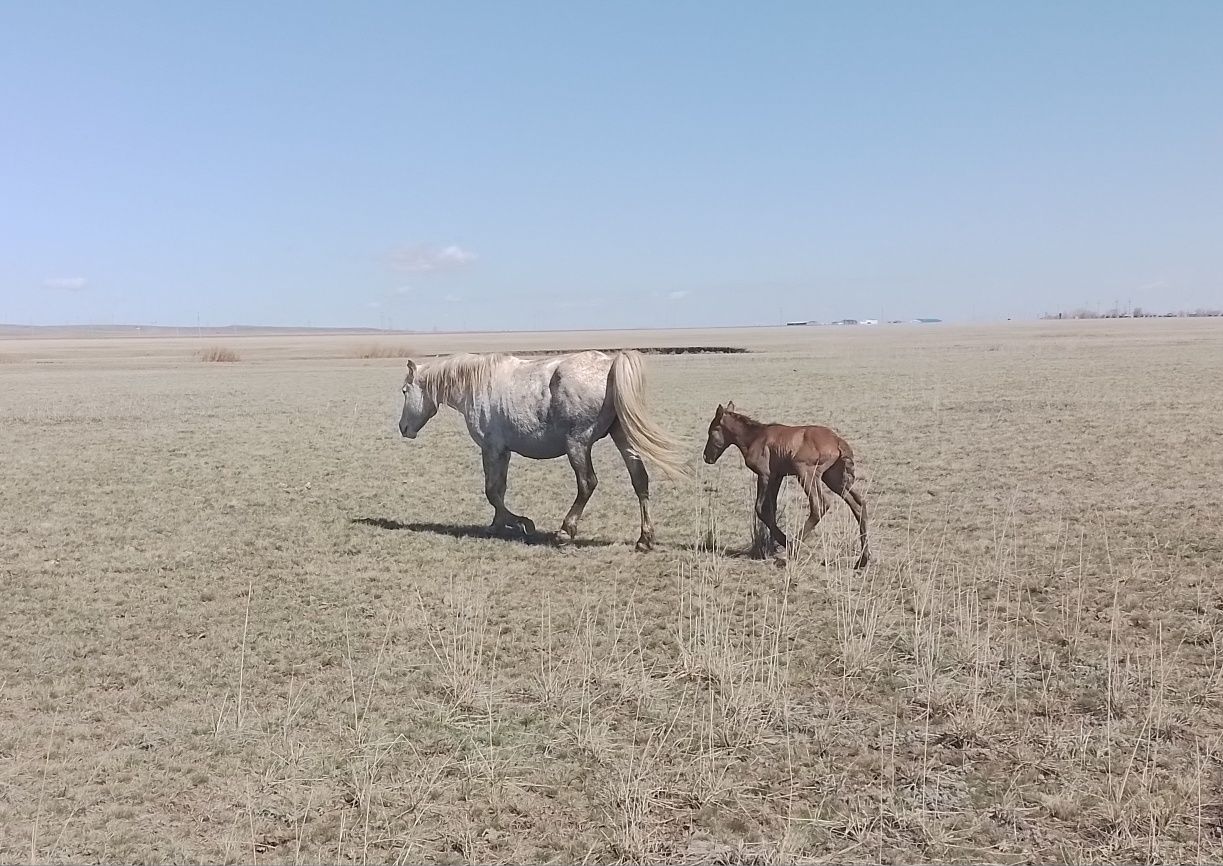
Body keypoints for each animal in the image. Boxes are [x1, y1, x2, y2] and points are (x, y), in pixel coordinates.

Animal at [398, 349, 689, 547]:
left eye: (404, 391)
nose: (403, 428)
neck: (478, 384)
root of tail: (609, 365)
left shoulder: (491, 449)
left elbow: (491, 491)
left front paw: (521, 523)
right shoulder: (503, 452)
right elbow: (499, 490)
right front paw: (497, 524)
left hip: (577, 444)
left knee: (587, 483)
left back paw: (565, 531)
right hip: (623, 438)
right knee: (640, 480)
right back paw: (645, 539)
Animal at [704, 401, 865, 567]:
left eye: (712, 430)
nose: (706, 457)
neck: (756, 436)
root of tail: (838, 441)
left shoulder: (765, 475)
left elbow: (760, 509)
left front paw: (783, 542)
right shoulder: (777, 476)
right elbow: (772, 509)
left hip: (806, 474)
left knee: (820, 505)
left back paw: (793, 547)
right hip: (835, 479)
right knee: (858, 504)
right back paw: (863, 560)